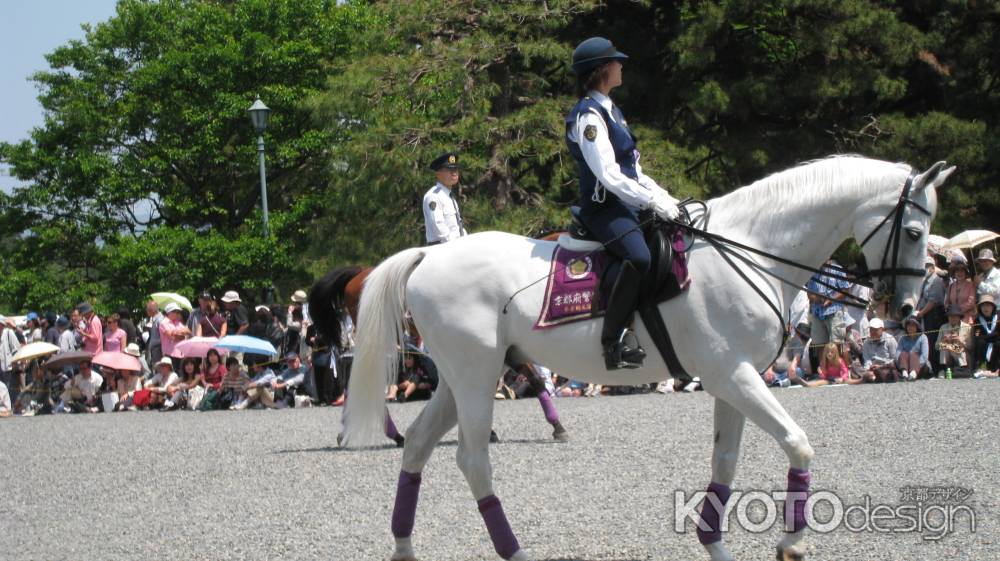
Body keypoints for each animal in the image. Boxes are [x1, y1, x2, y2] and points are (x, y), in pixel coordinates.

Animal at [342, 156, 952, 560]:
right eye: (914, 229)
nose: (904, 307)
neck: (749, 250)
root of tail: (429, 257)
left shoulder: (733, 379)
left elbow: (724, 464)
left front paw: (714, 543)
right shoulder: (734, 375)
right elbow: (797, 443)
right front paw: (791, 542)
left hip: (459, 379)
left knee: (418, 447)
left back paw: (404, 548)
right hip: (474, 378)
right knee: (472, 461)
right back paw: (513, 551)